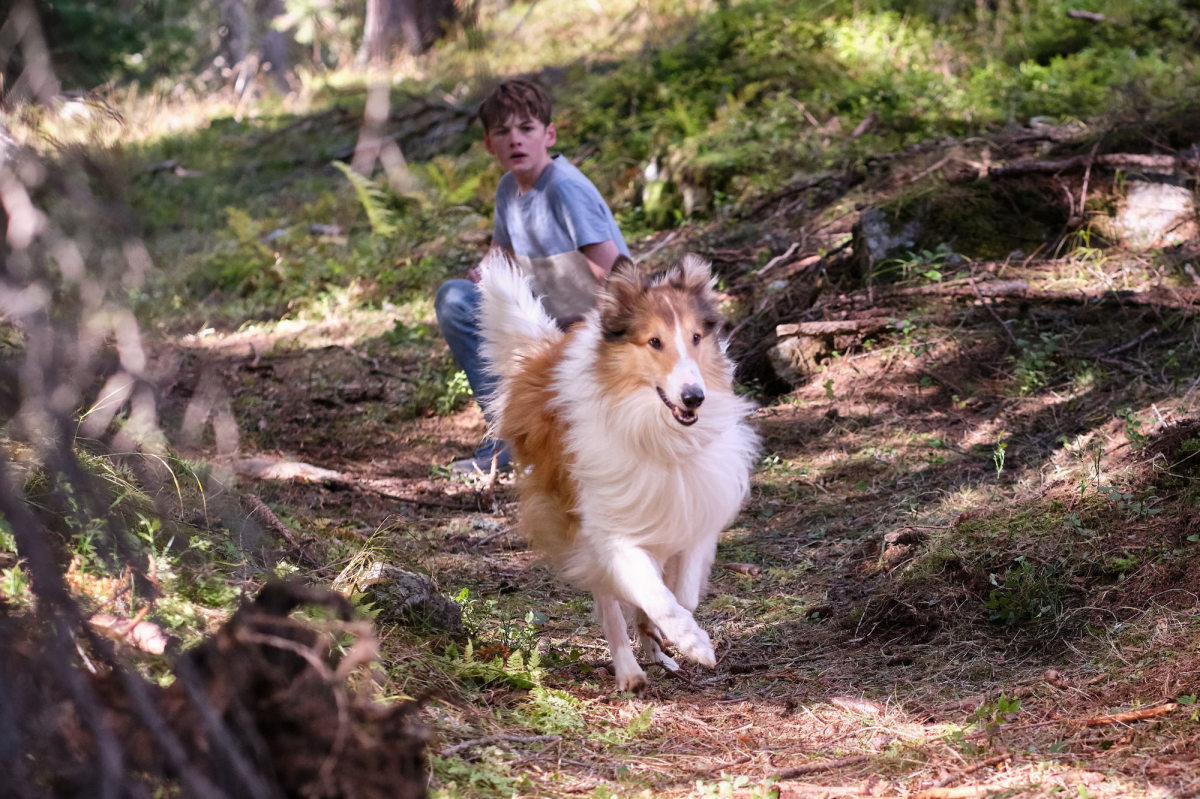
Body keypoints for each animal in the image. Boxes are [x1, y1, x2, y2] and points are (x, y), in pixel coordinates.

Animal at [472, 249, 753, 691]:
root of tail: (543, 357)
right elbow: (656, 596)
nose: (695, 397)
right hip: (579, 519)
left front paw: (670, 633)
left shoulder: (696, 507)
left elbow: (683, 593)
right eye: (654, 341)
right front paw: (693, 643)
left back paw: (655, 650)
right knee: (608, 601)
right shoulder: (611, 531)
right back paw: (629, 671)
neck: (658, 432)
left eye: (696, 338)